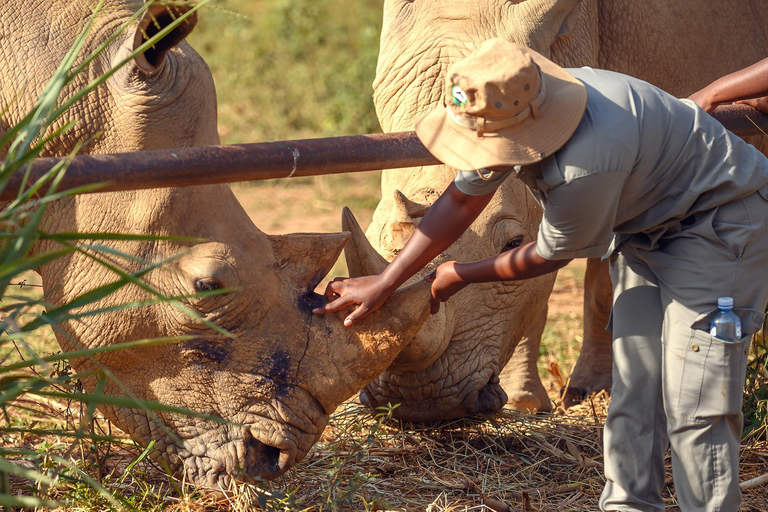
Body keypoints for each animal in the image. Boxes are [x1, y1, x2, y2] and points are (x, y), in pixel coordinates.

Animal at [352, 0, 768, 418]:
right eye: (375, 236)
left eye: (512, 242)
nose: (418, 402)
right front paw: (526, 406)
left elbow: (598, 279)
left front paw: (587, 392)